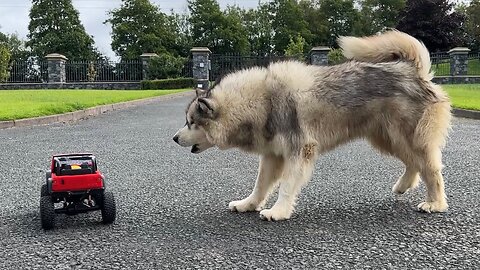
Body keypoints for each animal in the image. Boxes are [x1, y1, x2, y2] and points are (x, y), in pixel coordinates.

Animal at [174, 30, 452, 220]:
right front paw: (248, 204)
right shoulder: (273, 156)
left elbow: (286, 186)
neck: (259, 101)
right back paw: (404, 186)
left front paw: (278, 211)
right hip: (387, 138)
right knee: (413, 164)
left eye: (191, 122)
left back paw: (435, 203)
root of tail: (412, 70)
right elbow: (260, 185)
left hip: (405, 137)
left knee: (430, 169)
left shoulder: (299, 151)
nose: (174, 138)